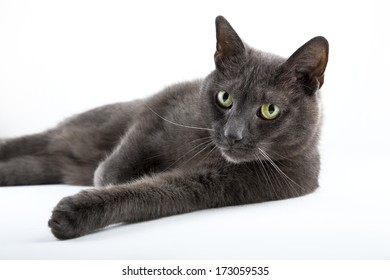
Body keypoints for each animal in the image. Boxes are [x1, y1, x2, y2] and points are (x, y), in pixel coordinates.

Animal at [0, 15, 330, 238]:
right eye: (224, 97)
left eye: (269, 110)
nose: (232, 135)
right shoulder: (162, 105)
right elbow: (128, 150)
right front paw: (109, 176)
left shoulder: (217, 183)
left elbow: (152, 192)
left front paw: (74, 214)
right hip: (85, 129)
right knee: (38, 140)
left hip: (49, 164)